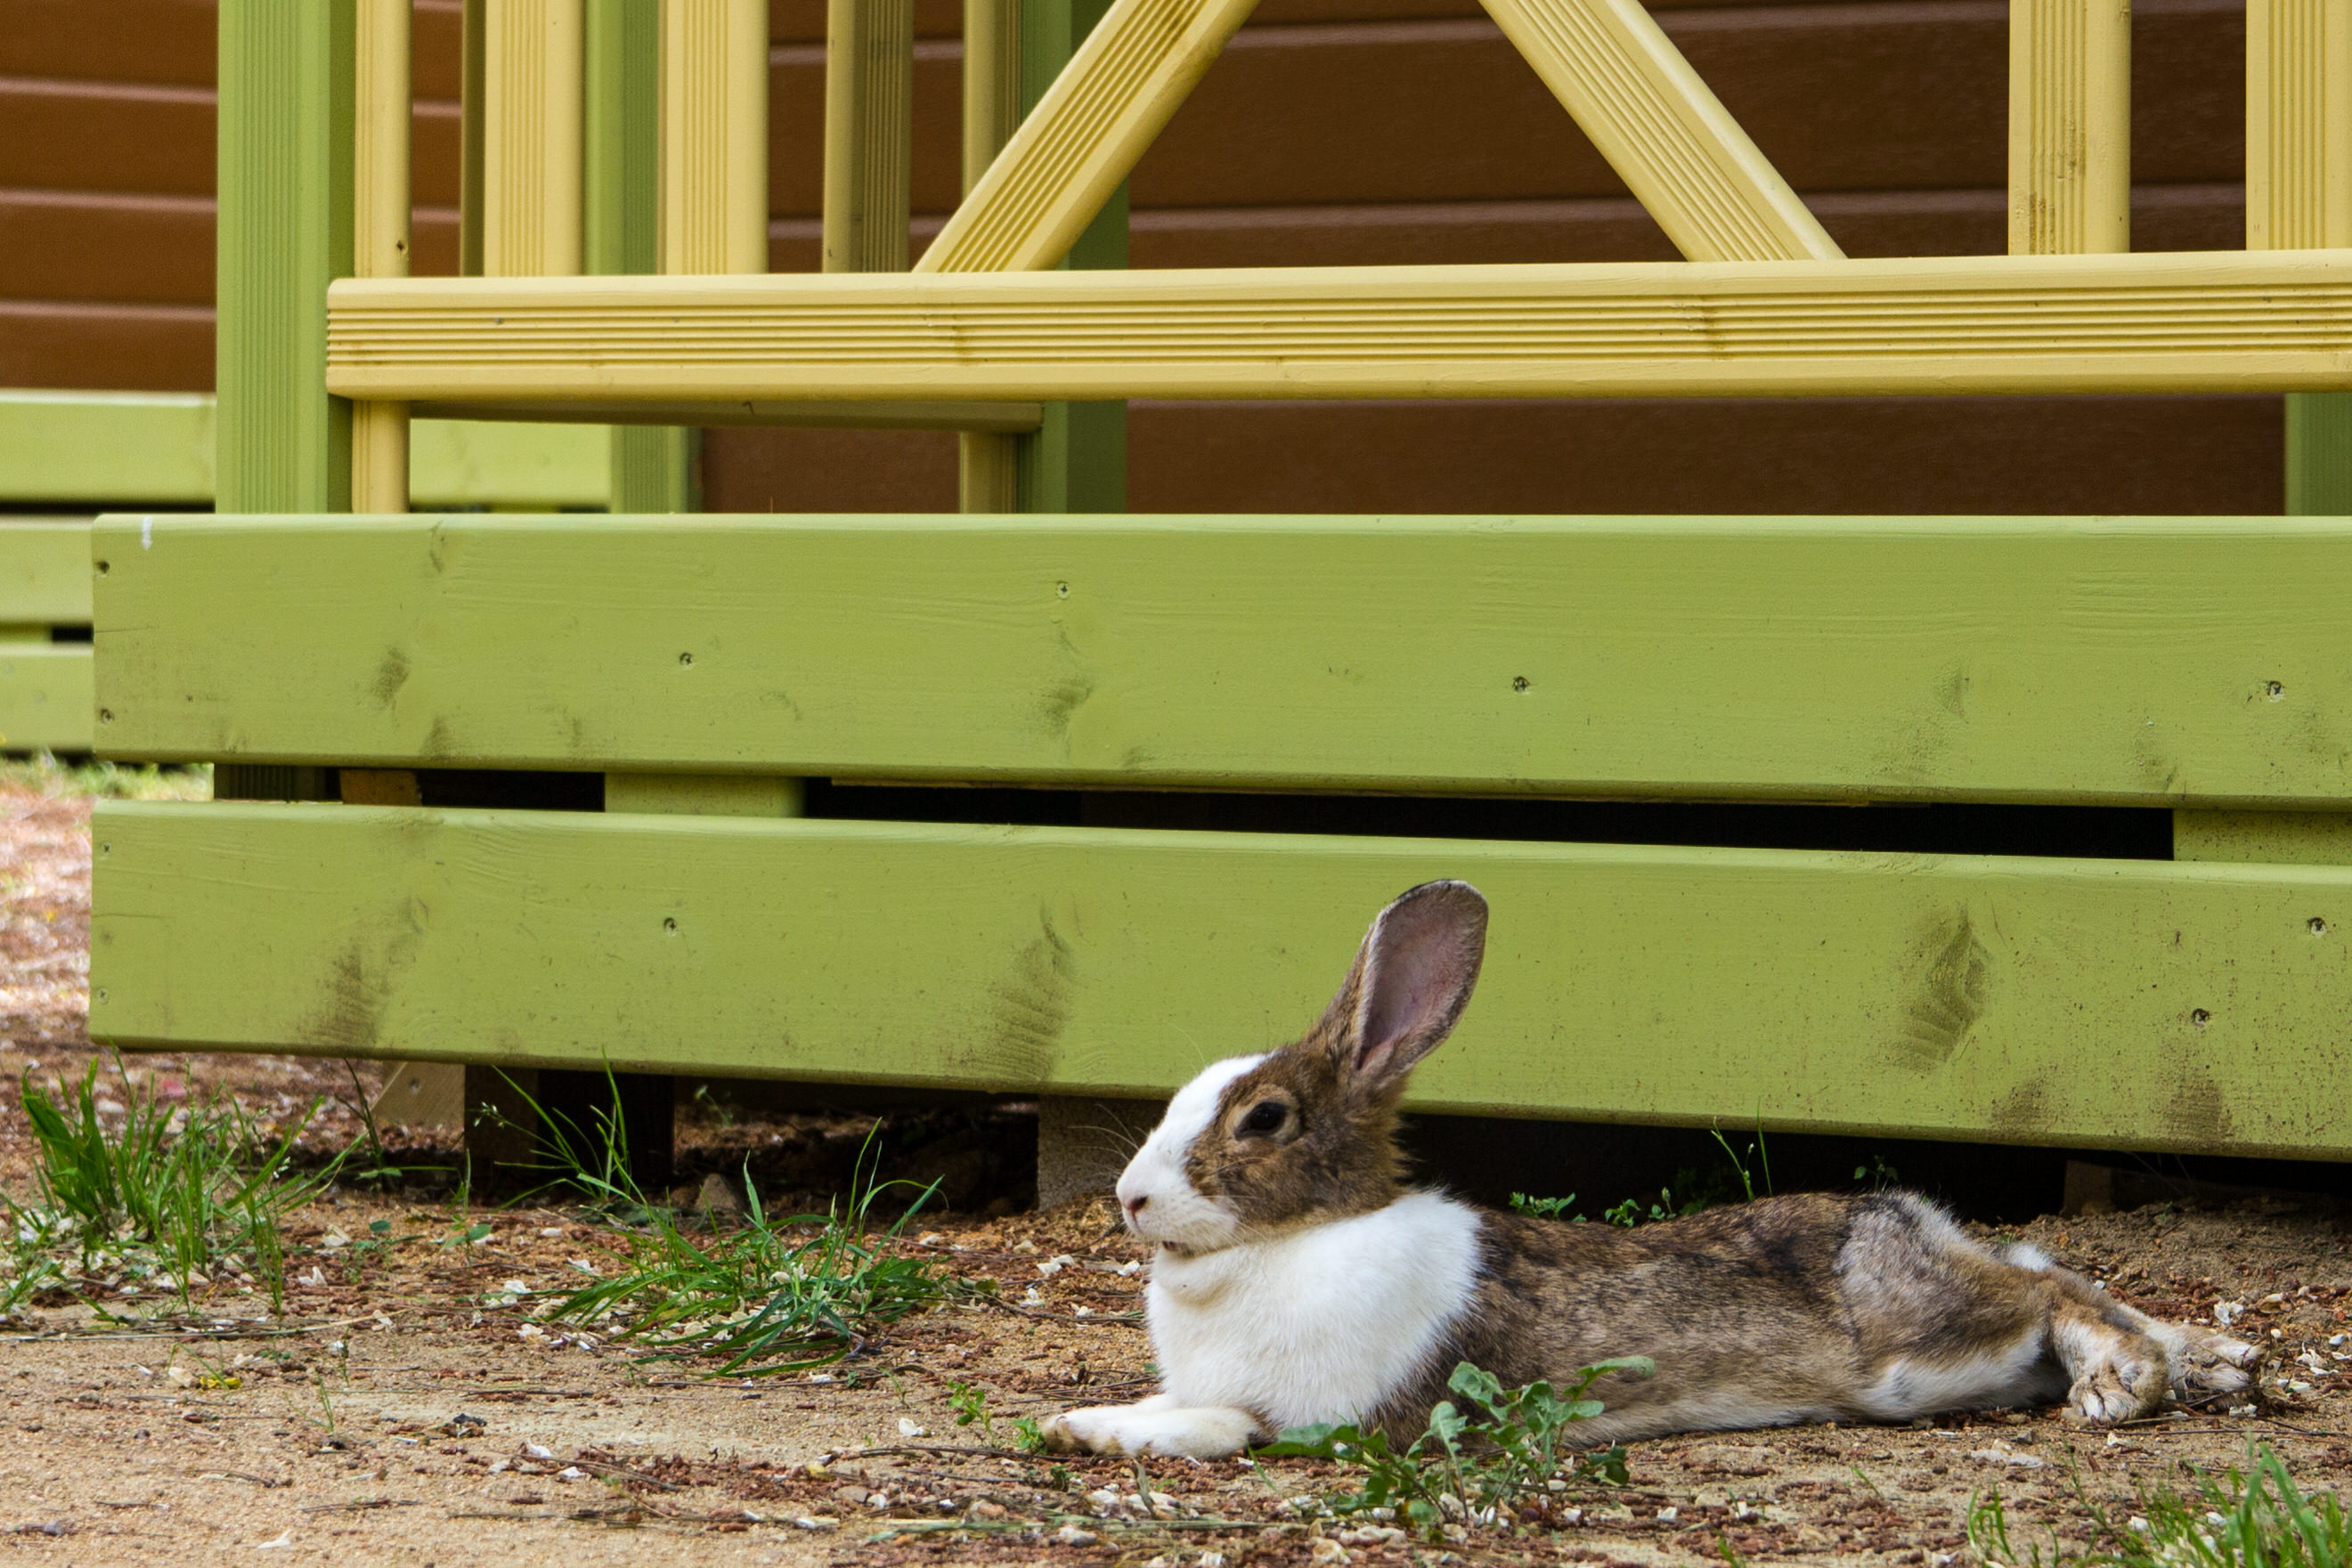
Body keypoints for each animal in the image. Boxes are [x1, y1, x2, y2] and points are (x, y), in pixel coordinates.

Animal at [1041, 879, 2257, 1459]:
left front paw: (1093, 1431)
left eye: (1263, 1120)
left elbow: (1220, 1427)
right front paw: (1083, 1422)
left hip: (1922, 1350)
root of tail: (1903, 1216)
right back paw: (2217, 1357)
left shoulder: (1341, 1413)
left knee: (2045, 1294)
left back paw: (2127, 1381)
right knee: (2050, 1268)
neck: (1291, 1244)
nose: (1129, 1198)